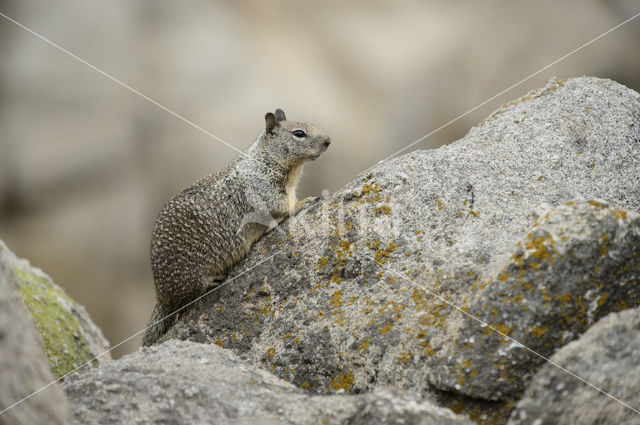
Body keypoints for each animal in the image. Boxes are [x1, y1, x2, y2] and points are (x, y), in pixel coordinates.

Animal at [143, 108, 332, 344]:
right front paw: (304, 202)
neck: (265, 159)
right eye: (299, 133)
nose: (328, 141)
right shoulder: (266, 190)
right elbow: (282, 208)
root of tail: (161, 297)